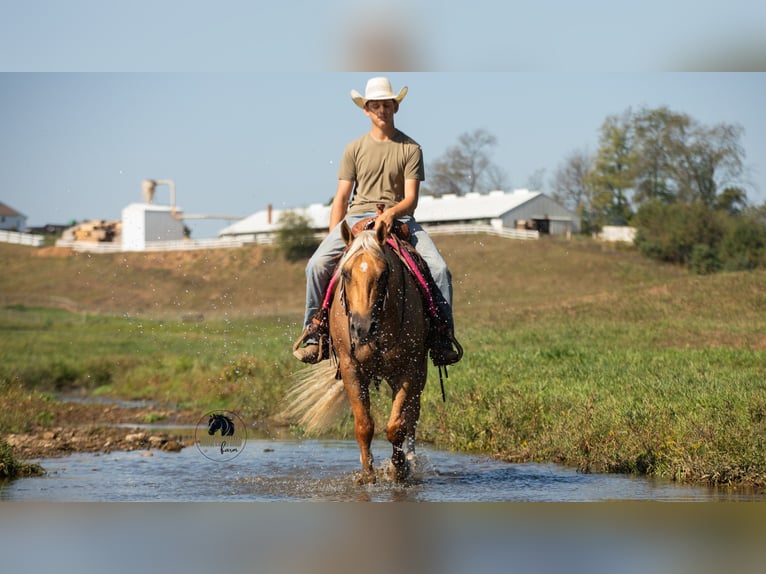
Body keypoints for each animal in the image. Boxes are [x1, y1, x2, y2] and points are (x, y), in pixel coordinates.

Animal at [283, 220, 431, 484]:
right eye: (345, 273)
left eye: (383, 274)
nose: (362, 327)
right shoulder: (351, 369)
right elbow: (364, 426)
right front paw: (368, 475)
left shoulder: (408, 370)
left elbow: (397, 426)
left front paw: (398, 469)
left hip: (418, 373)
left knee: (412, 415)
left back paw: (411, 460)